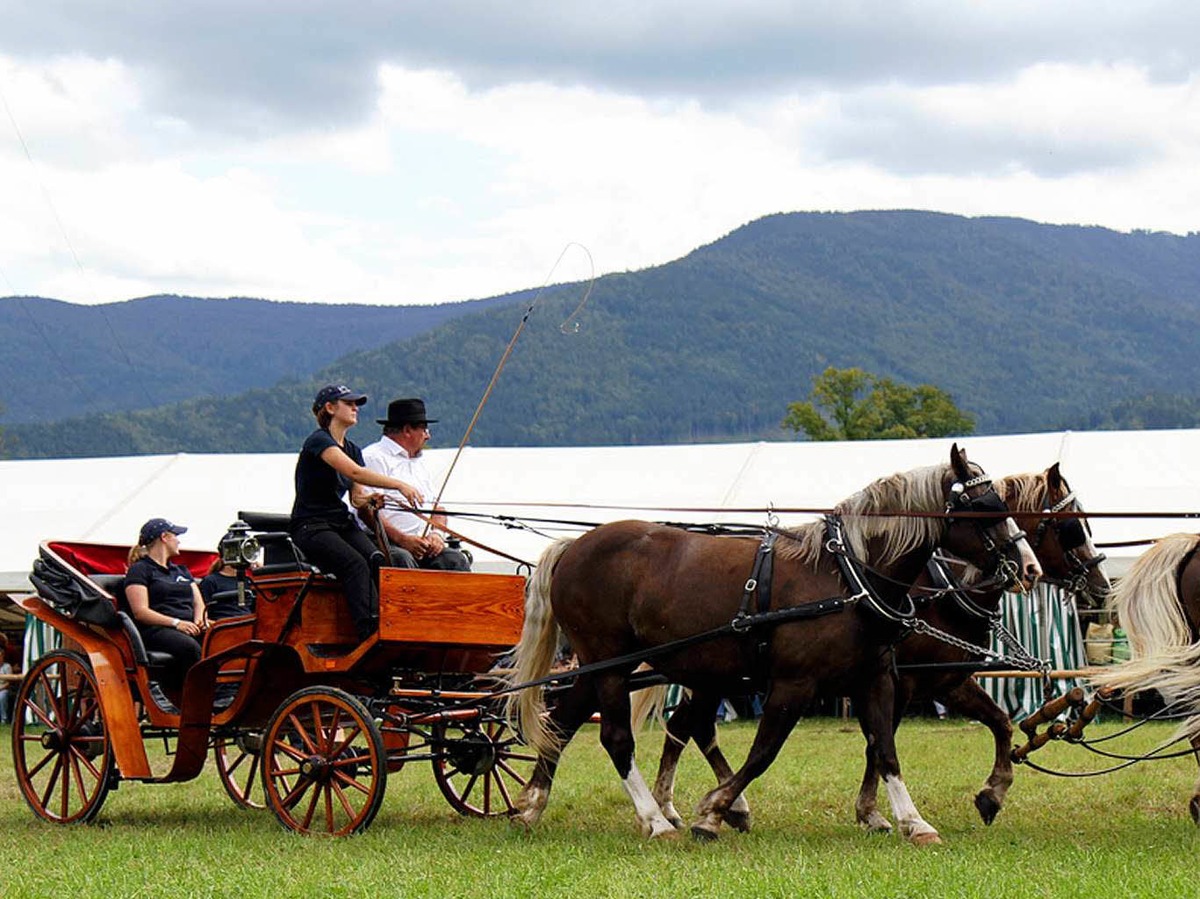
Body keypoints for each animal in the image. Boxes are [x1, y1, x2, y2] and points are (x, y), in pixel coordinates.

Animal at [506, 446, 1041, 840]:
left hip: (600, 666)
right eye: (985, 508)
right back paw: (656, 820)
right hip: (612, 663)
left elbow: (884, 748)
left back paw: (532, 804)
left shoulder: (876, 678)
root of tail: (572, 547)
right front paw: (713, 811)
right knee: (616, 737)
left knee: (564, 723)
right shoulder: (794, 683)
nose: (1029, 567)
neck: (847, 576)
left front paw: (913, 821)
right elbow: (765, 751)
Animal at [643, 463, 1108, 835]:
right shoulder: (902, 682)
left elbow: (999, 722)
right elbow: (877, 743)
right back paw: (679, 807)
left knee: (690, 725)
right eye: (1072, 525)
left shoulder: (944, 679)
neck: (936, 588)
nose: (1101, 585)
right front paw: (873, 812)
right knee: (690, 725)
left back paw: (700, 806)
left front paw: (991, 794)